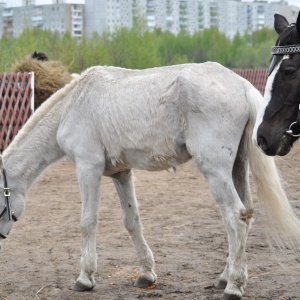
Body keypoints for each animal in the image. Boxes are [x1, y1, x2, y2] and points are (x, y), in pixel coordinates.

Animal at [0, 62, 300, 298]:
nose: (1, 236)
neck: (74, 105)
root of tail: (241, 86)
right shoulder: (120, 174)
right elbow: (132, 222)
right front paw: (146, 274)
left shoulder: (88, 168)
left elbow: (88, 222)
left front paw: (85, 278)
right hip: (237, 166)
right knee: (246, 215)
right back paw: (227, 277)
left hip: (215, 170)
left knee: (235, 217)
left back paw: (234, 286)